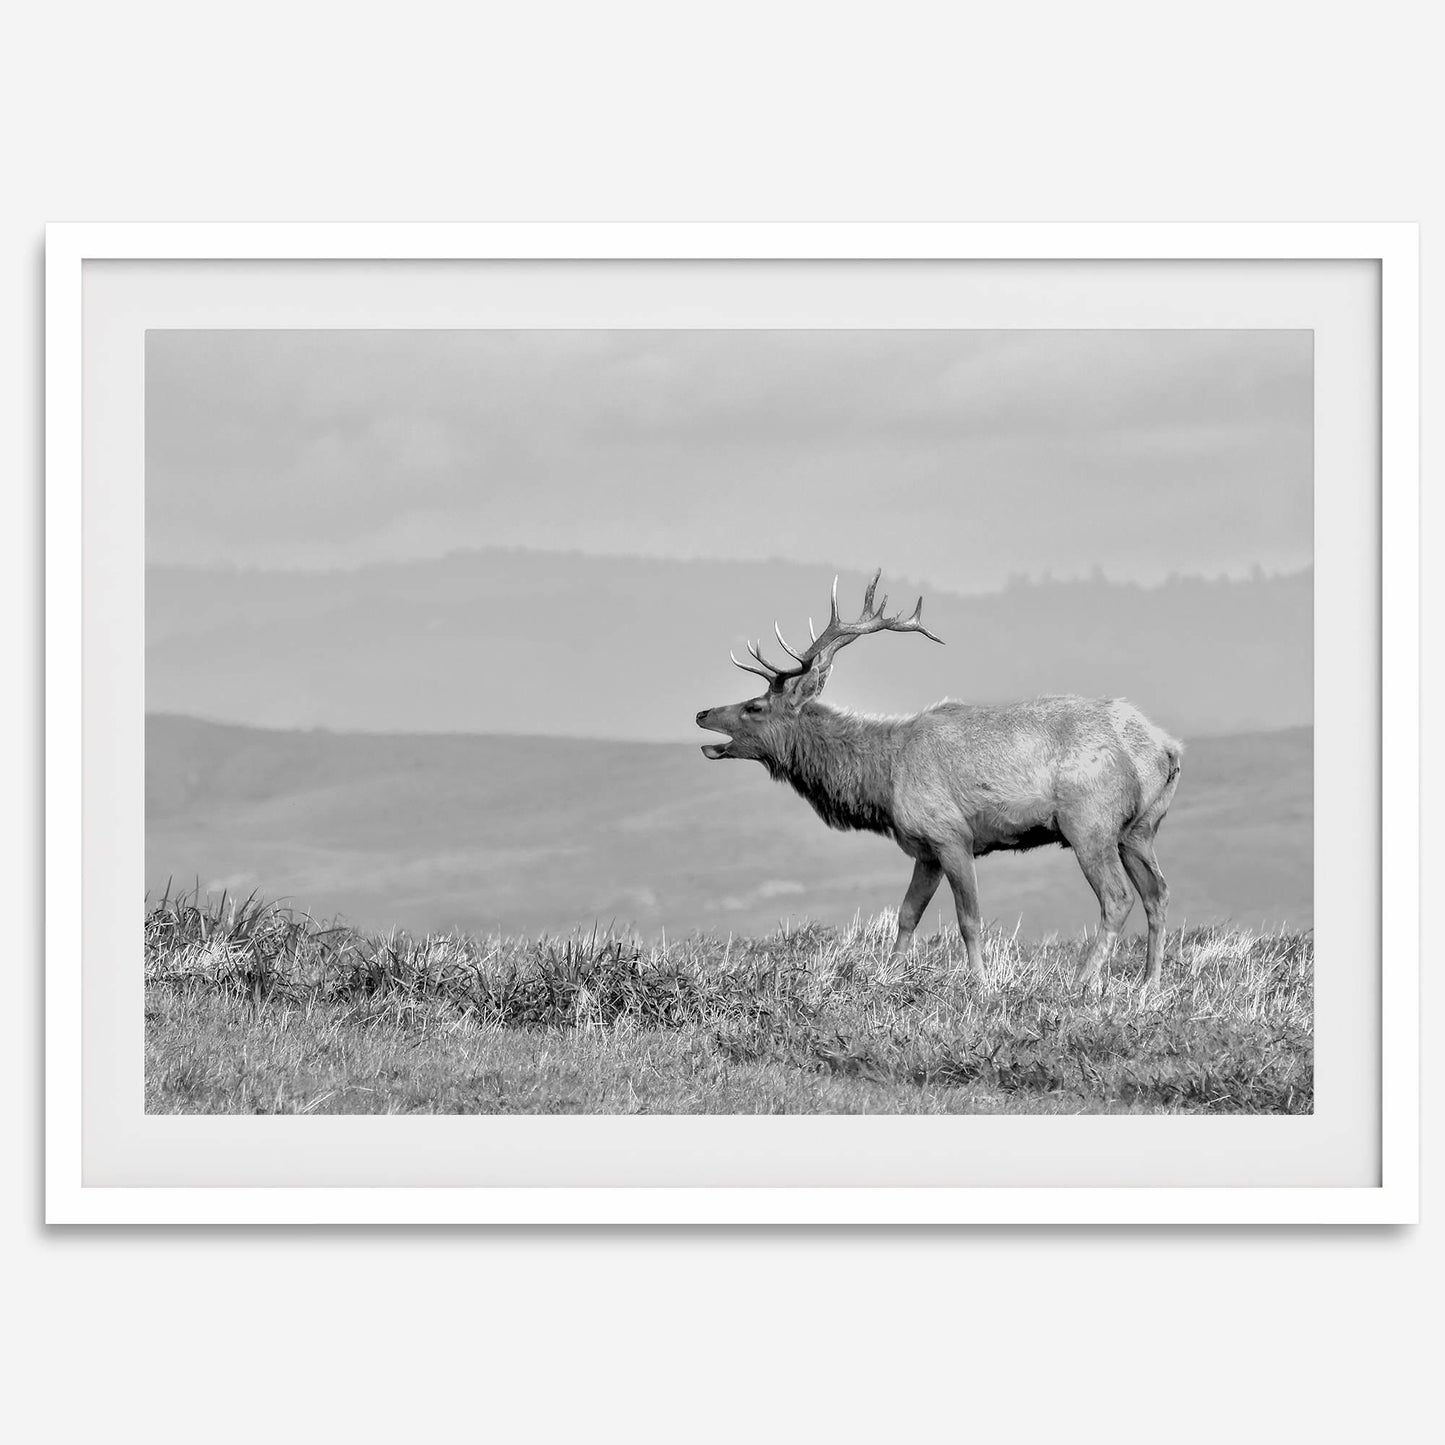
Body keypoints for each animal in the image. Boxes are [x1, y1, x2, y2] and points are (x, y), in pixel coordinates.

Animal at [695, 571, 1183, 987]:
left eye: (755, 706)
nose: (701, 712)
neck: (882, 780)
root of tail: (1166, 749)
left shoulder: (952, 836)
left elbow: (969, 919)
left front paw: (980, 984)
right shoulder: (924, 849)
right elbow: (907, 914)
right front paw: (889, 976)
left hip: (1089, 823)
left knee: (1117, 897)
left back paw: (1082, 982)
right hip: (1139, 829)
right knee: (1157, 893)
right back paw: (1150, 982)